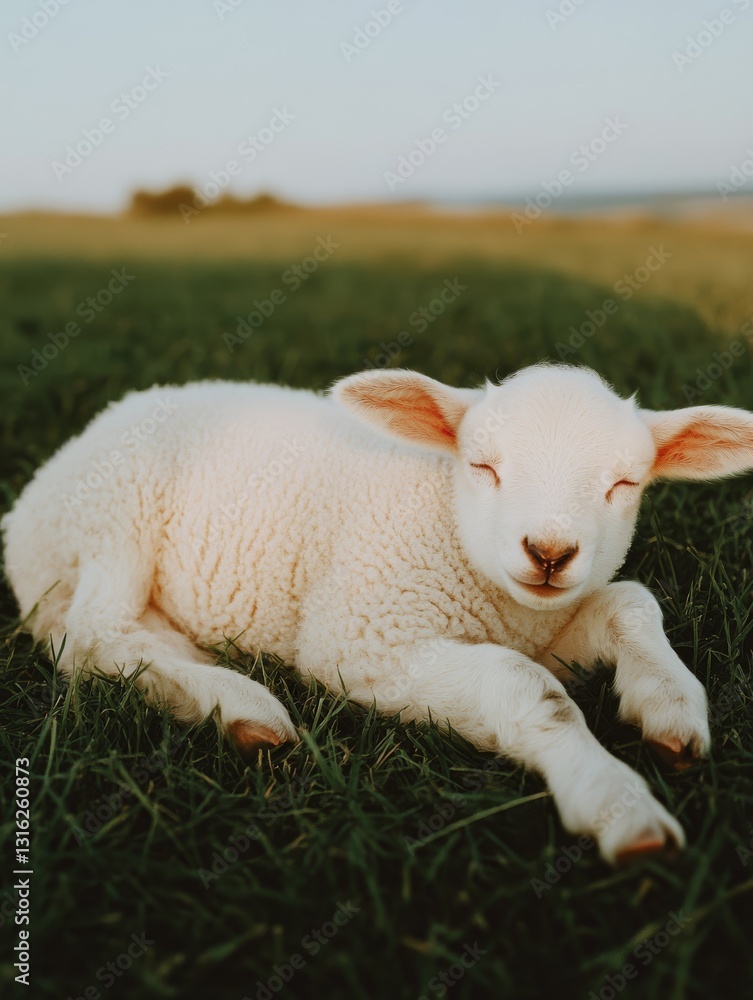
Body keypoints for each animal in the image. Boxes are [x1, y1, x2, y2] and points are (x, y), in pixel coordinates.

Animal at [4, 364, 753, 866]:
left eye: (623, 484)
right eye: (483, 466)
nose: (548, 552)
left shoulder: (544, 628)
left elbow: (630, 603)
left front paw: (670, 707)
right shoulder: (362, 638)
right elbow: (528, 689)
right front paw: (613, 802)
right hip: (113, 515)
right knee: (91, 635)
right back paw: (237, 700)